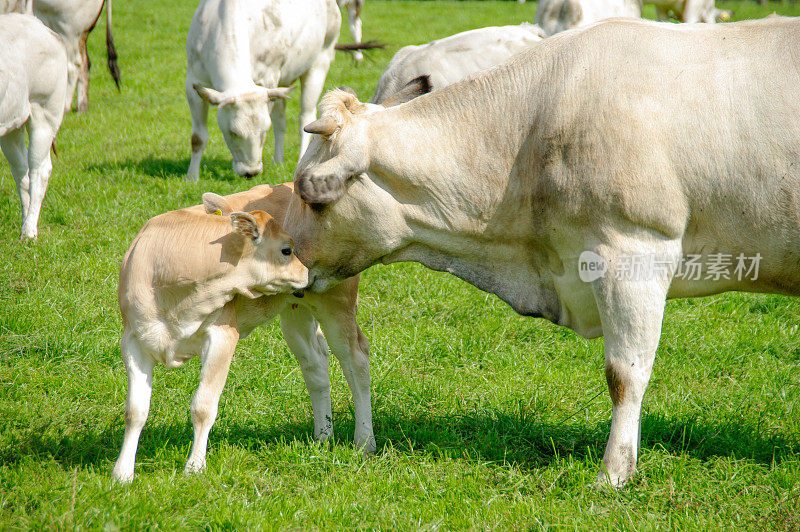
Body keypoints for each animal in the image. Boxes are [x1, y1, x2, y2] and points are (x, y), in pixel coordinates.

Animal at [112, 182, 376, 482]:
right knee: (315, 365)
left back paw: (364, 442)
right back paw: (323, 436)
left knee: (356, 359)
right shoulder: (133, 340)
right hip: (295, 312)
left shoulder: (222, 335)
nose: (306, 272)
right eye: (287, 250)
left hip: (337, 303)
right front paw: (122, 473)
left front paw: (195, 467)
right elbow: (135, 410)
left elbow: (203, 406)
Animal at [188, 0, 344, 181]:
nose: (250, 172)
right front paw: (192, 177)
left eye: (263, 131)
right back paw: (278, 160)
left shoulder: (268, 78)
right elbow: (198, 137)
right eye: (233, 132)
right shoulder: (193, 81)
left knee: (306, 118)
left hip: (320, 62)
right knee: (281, 121)